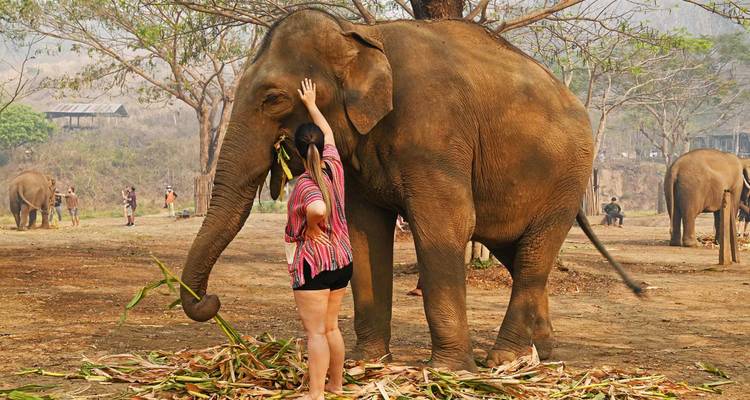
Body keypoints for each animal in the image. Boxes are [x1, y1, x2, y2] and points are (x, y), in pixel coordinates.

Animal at [179, 10, 640, 371]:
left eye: (273, 98)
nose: (211, 301)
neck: (362, 34)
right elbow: (365, 230)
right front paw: (365, 362)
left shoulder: (434, 130)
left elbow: (446, 223)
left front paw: (448, 370)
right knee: (517, 255)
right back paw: (539, 353)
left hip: (567, 177)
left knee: (532, 257)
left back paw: (503, 360)